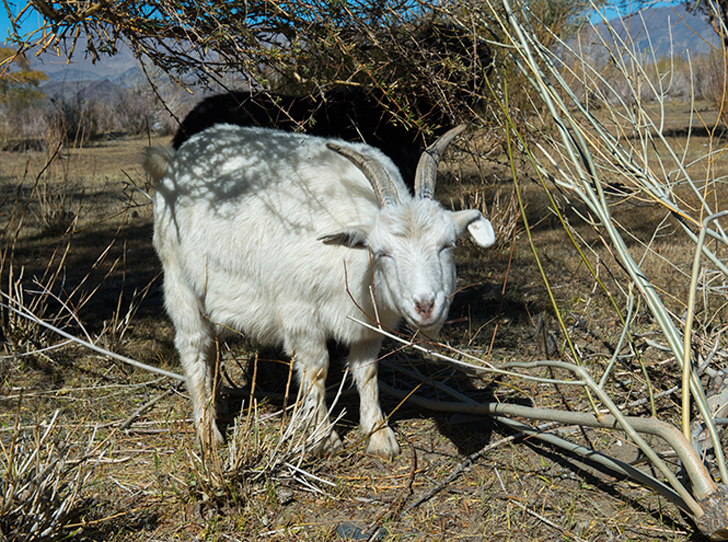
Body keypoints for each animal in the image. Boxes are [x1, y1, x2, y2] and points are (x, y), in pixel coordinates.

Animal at [142, 123, 494, 460]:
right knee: (194, 347)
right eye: (381, 252)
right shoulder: (300, 316)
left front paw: (379, 435)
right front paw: (324, 438)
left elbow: (367, 372)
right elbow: (317, 370)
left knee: (212, 349)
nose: (425, 305)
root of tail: (177, 159)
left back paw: (219, 405)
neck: (354, 262)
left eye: (448, 245)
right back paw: (208, 431)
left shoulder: (368, 324)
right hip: (180, 283)